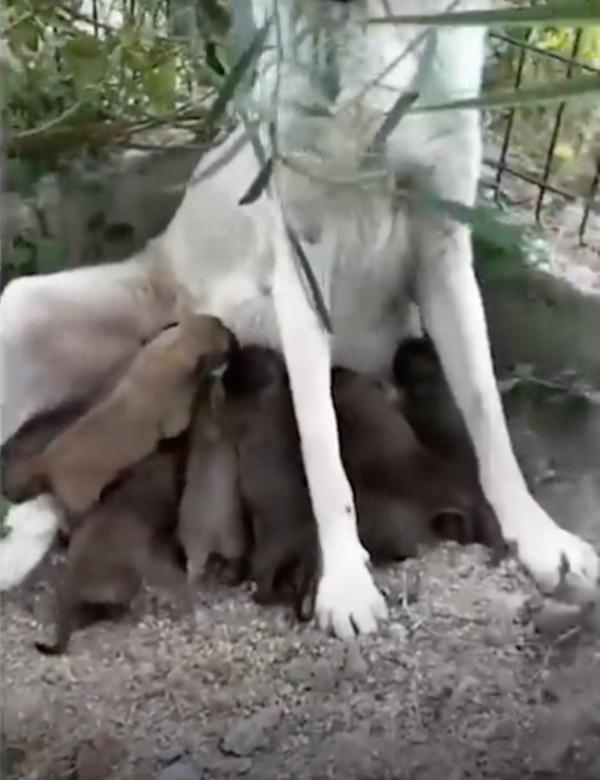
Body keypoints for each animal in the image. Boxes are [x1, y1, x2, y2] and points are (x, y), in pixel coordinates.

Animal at [1, 0, 596, 636]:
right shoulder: (302, 261)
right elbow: (321, 443)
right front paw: (345, 580)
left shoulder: (444, 247)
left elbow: (488, 413)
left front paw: (540, 537)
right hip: (23, 310)